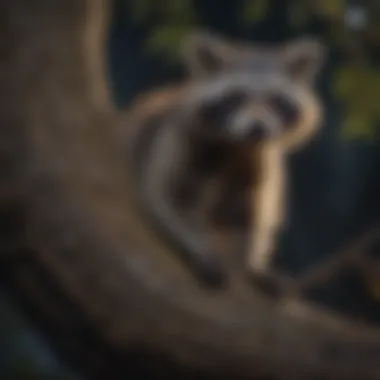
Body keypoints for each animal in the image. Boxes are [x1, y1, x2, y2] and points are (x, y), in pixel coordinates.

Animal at [123, 31, 326, 286]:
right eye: (237, 97)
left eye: (275, 100)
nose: (257, 129)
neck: (238, 146)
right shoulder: (178, 143)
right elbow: (164, 198)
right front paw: (195, 247)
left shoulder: (262, 163)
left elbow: (258, 214)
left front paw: (254, 263)